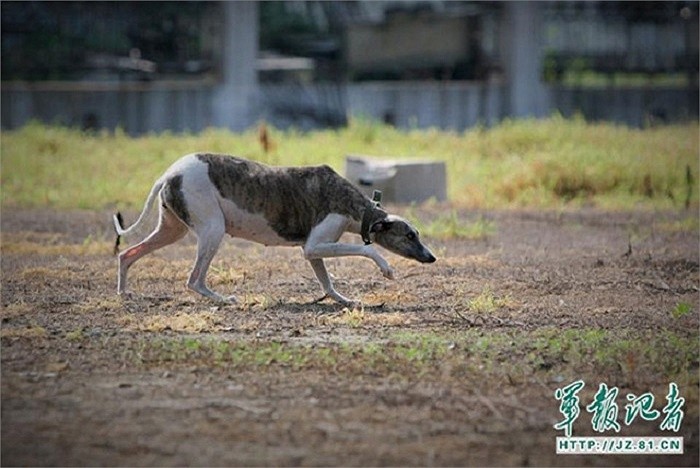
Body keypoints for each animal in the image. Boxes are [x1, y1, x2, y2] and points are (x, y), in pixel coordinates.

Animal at [112, 154, 434, 308]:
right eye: (410, 235)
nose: (432, 258)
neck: (359, 207)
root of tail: (169, 173)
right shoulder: (315, 246)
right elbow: (366, 248)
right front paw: (386, 268)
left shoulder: (313, 250)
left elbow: (327, 283)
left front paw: (345, 300)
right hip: (213, 230)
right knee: (194, 280)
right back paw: (223, 299)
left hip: (171, 230)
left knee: (127, 254)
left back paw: (123, 291)